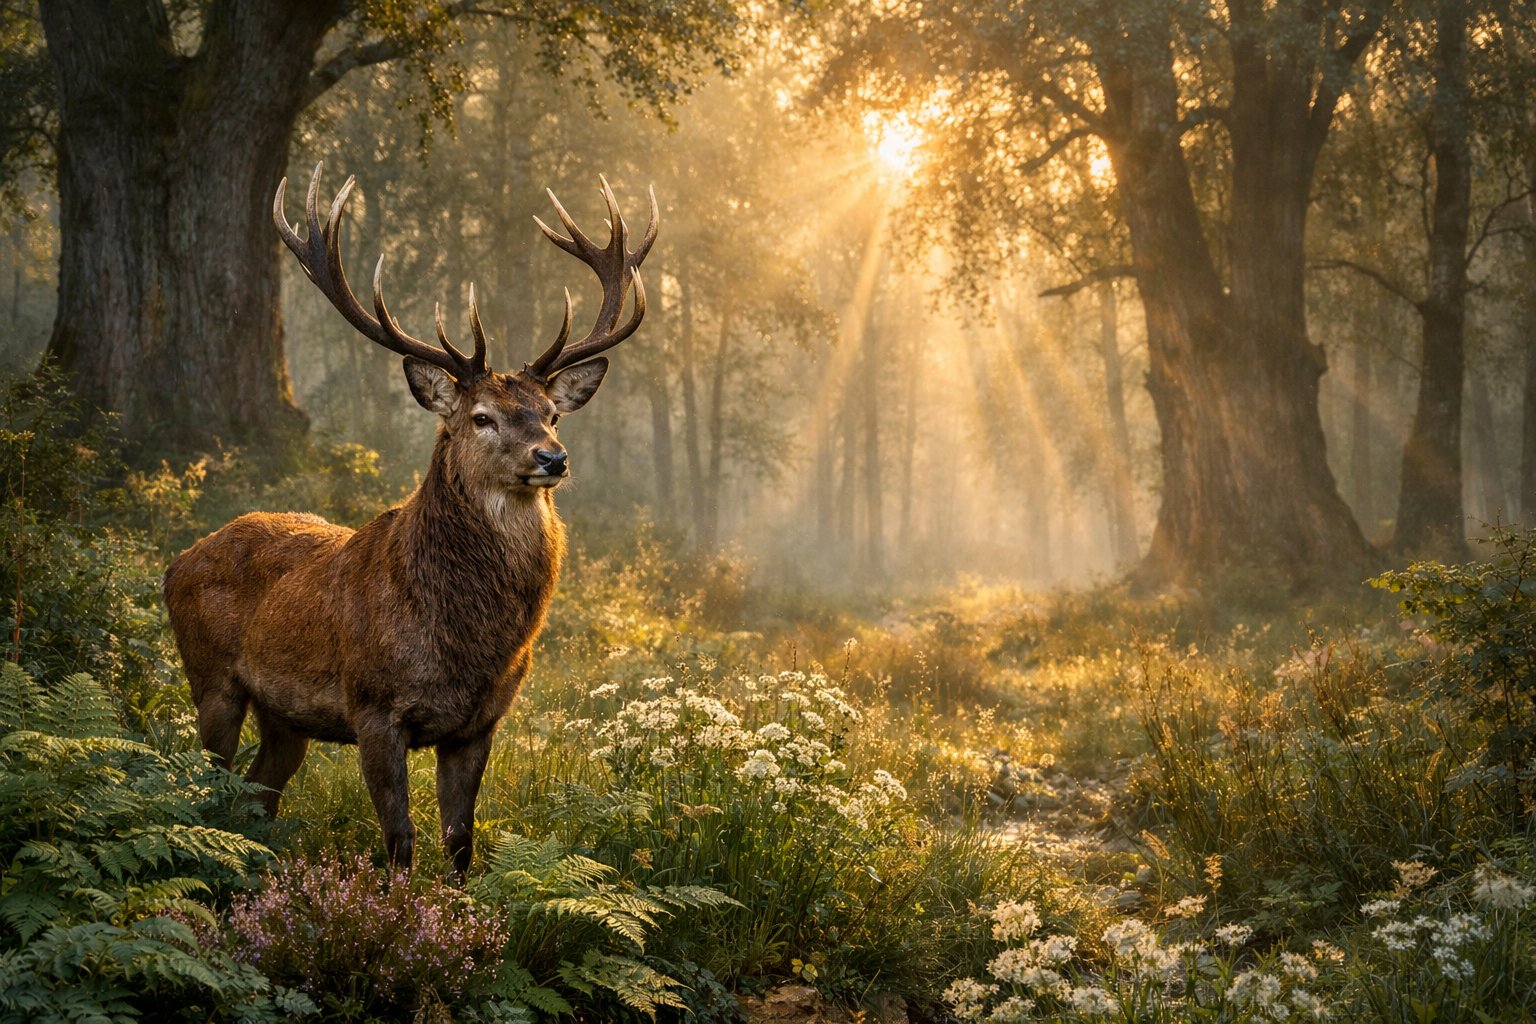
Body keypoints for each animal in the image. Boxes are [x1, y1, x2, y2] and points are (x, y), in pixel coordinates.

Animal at [163, 163, 656, 873]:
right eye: (481, 418)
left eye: (551, 415)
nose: (552, 458)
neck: (461, 640)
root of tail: (175, 563)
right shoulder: (373, 706)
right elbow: (399, 844)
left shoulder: (481, 721)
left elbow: (459, 845)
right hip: (211, 680)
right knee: (208, 785)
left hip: (286, 718)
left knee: (258, 792)